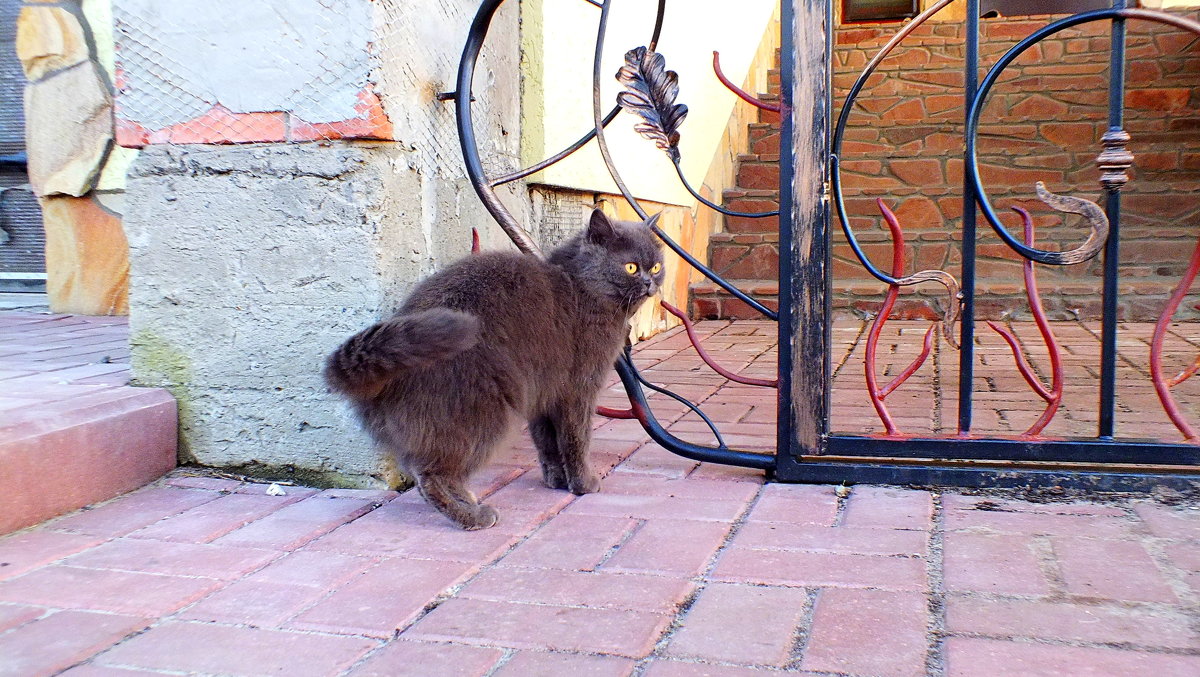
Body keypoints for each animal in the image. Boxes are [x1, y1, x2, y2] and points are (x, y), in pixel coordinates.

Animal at [324, 210, 667, 528]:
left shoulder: (541, 391)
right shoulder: (579, 388)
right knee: (431, 476)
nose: (650, 282)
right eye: (631, 267)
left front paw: (555, 481)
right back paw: (473, 515)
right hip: (485, 411)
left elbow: (547, 442)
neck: (582, 288)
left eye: (656, 266)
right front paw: (584, 484)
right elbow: (575, 439)